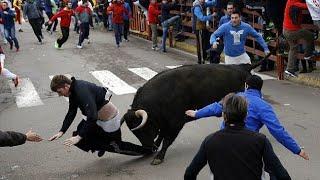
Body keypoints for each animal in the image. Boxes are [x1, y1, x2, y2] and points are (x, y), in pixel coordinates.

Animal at [122, 62, 262, 165]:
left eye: (144, 128)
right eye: (135, 132)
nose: (147, 149)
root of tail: (242, 66)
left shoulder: (176, 123)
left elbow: (167, 139)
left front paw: (159, 157)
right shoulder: (164, 122)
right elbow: (161, 135)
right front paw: (156, 147)